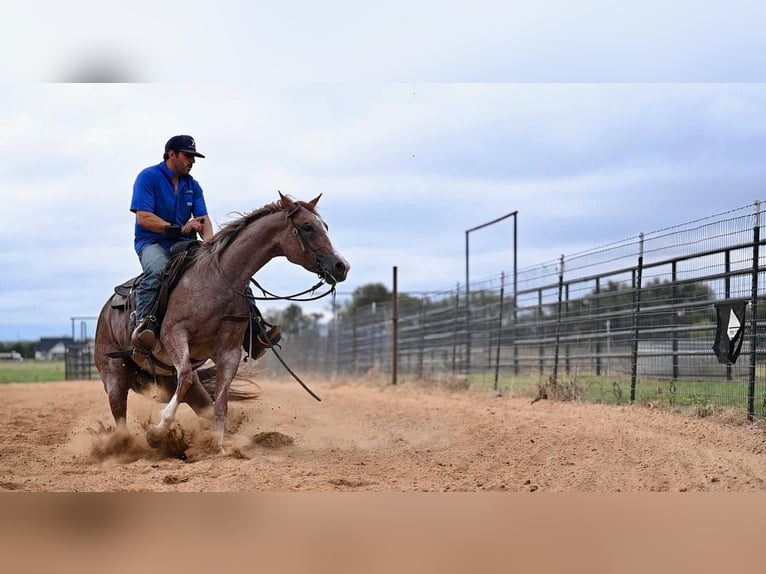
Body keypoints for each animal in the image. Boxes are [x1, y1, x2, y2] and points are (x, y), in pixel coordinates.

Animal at [94, 195, 354, 454]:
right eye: (308, 227)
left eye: (325, 226)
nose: (342, 266)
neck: (218, 280)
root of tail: (105, 312)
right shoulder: (174, 335)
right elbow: (186, 375)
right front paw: (157, 431)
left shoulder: (229, 352)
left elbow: (220, 402)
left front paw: (218, 446)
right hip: (115, 377)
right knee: (122, 420)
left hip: (171, 379)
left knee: (201, 403)